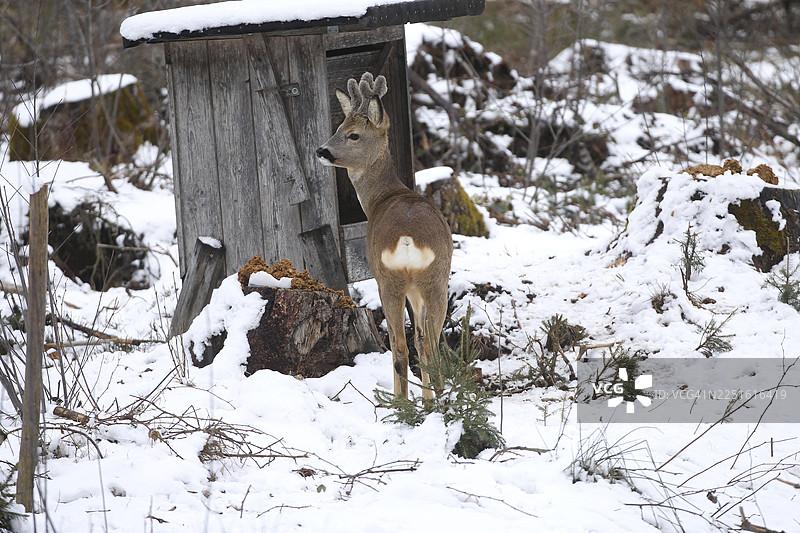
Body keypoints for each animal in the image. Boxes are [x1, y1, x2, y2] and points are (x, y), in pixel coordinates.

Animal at [316, 72, 453, 401]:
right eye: (338, 128)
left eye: (352, 134)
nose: (321, 151)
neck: (383, 196)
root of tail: (406, 238)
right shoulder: (416, 288)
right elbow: (421, 342)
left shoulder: (393, 281)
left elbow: (406, 343)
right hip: (430, 279)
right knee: (425, 346)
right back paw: (431, 402)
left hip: (394, 280)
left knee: (403, 347)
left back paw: (405, 404)